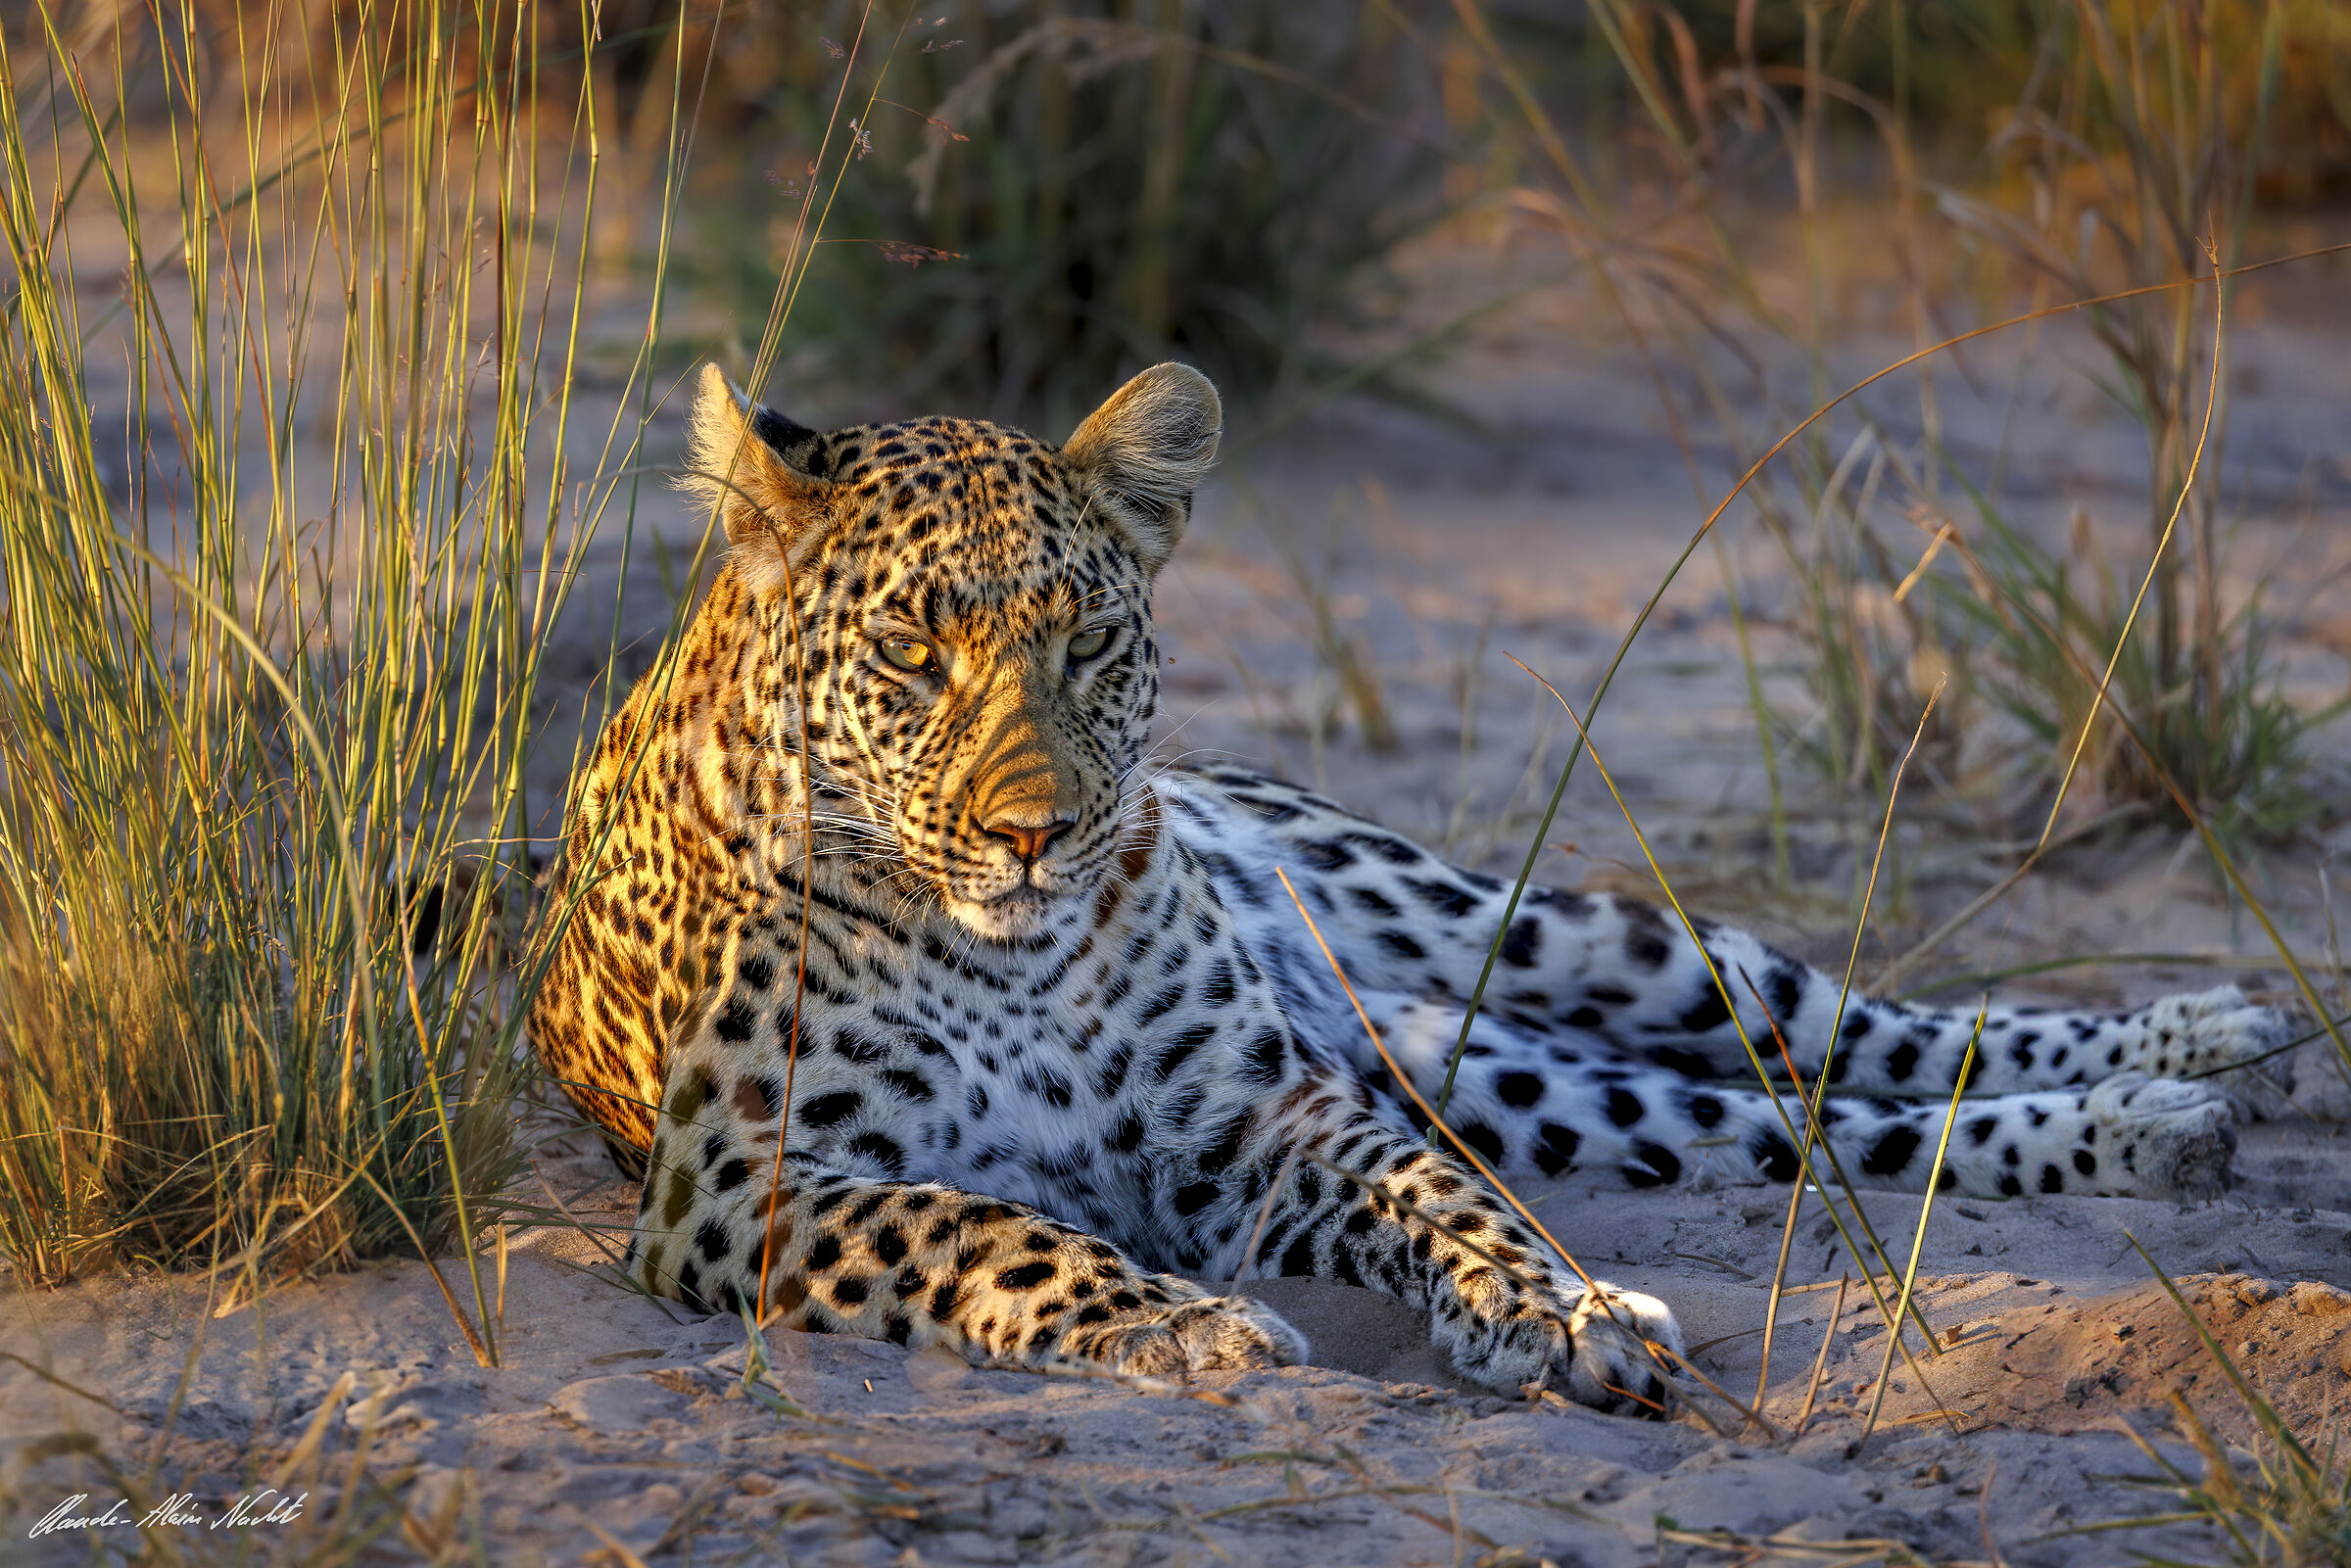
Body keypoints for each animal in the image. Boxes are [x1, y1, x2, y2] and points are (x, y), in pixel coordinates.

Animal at [527, 359, 2291, 1414]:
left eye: (1086, 643)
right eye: (911, 652)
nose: (1040, 831)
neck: (1008, 961)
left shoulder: (1269, 1115)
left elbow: (1441, 1195)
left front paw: (1563, 1309)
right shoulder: (736, 1188)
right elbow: (973, 1225)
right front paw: (1186, 1326)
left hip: (1528, 936)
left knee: (1856, 1029)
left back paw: (2194, 1047)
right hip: (1493, 1063)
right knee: (1806, 1128)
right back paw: (2164, 1122)